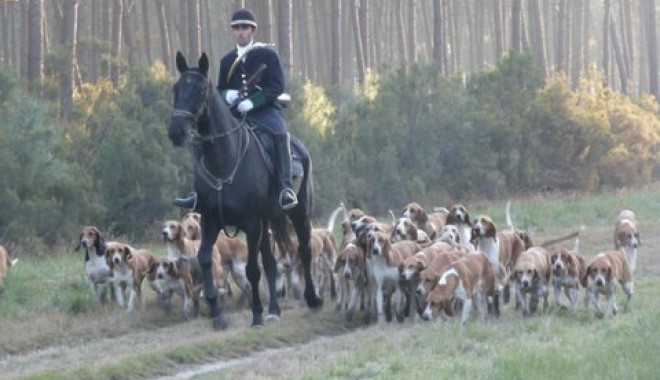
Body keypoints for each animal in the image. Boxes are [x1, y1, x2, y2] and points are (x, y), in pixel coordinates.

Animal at [168, 52, 322, 328]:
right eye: (177, 88)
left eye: (199, 89)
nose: (176, 132)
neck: (224, 160)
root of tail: (299, 147)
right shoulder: (211, 219)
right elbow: (205, 259)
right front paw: (216, 313)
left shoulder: (250, 223)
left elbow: (252, 269)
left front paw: (256, 314)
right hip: (267, 219)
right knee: (270, 261)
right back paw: (274, 309)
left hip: (298, 212)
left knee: (303, 250)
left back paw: (312, 298)